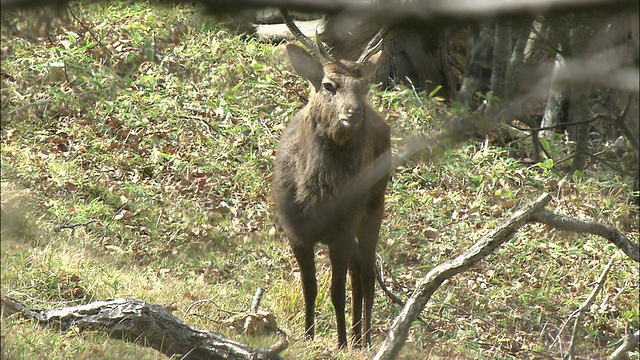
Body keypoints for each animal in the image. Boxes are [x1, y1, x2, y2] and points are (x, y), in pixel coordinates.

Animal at [272, 10, 390, 348]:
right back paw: (357, 334)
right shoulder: (295, 231)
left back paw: (363, 339)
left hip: (374, 206)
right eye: (328, 84)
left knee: (366, 272)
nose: (354, 112)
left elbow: (336, 292)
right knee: (357, 270)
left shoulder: (341, 231)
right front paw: (308, 335)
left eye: (365, 86)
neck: (317, 197)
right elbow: (309, 288)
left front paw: (339, 343)